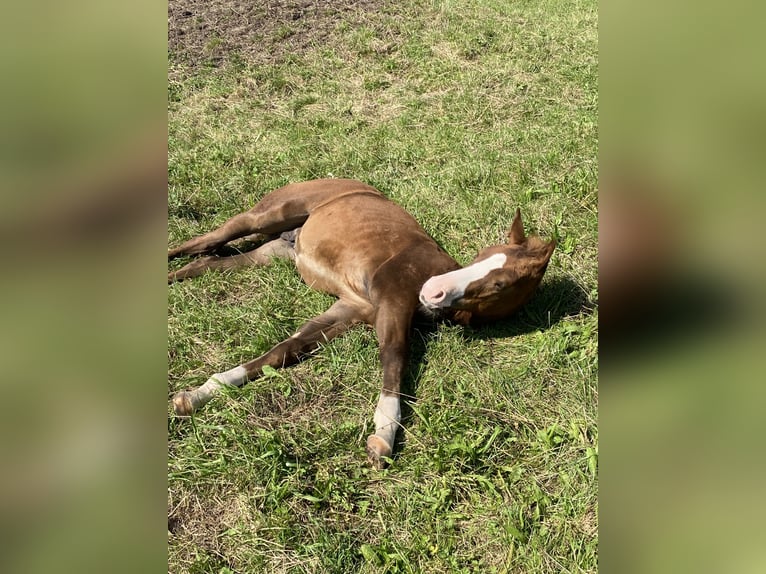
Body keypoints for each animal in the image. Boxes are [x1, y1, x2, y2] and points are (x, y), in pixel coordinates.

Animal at [166, 179, 560, 468]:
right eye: (480, 255)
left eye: (500, 284)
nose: (432, 290)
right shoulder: (391, 304)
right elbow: (396, 356)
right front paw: (383, 437)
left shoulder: (350, 310)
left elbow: (284, 350)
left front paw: (197, 395)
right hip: (264, 217)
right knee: (199, 243)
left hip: (270, 254)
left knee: (203, 263)